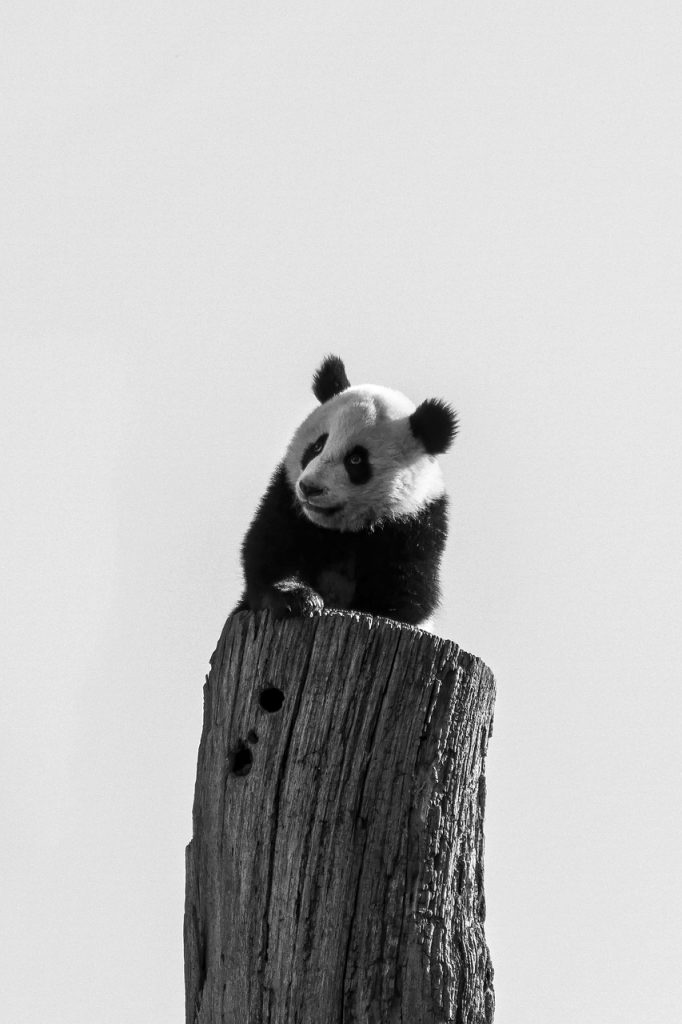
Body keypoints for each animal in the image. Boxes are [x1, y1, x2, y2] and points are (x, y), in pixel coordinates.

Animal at [235, 355, 458, 627]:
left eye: (355, 460)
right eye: (317, 446)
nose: (309, 488)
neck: (342, 532)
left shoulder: (415, 526)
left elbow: (408, 594)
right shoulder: (286, 501)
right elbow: (268, 551)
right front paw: (297, 598)